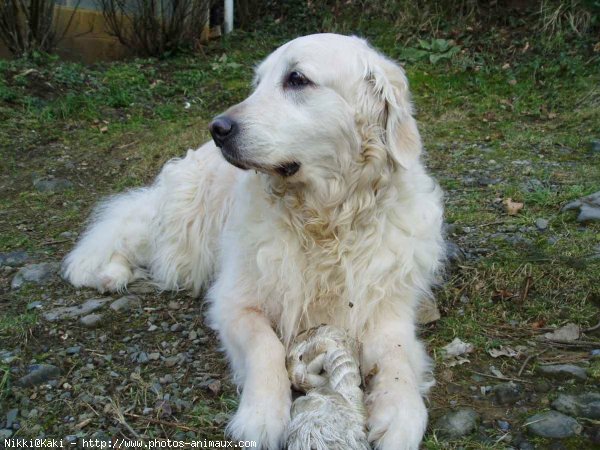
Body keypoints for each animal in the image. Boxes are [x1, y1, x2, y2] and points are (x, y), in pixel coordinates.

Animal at [63, 33, 446, 448]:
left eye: (297, 79)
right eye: (257, 83)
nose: (218, 128)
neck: (326, 219)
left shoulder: (387, 307)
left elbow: (396, 357)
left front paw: (401, 413)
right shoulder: (235, 302)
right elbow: (266, 346)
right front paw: (262, 413)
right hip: (185, 237)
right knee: (136, 235)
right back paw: (110, 274)